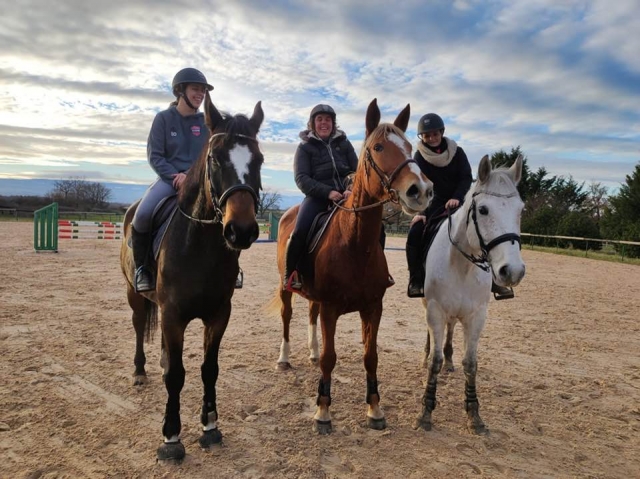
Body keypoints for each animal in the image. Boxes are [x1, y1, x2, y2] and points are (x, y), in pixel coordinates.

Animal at [121, 92, 264, 464]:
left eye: (259, 159)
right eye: (214, 158)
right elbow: (176, 375)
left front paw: (210, 426)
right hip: (134, 295)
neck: (200, 247)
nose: (241, 230)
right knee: (139, 326)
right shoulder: (173, 315)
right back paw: (139, 371)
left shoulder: (218, 314)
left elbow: (208, 369)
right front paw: (171, 438)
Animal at [270, 98, 436, 436]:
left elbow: (370, 357)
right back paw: (284, 358)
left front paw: (374, 409)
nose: (421, 191)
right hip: (285, 287)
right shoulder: (332, 308)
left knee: (310, 315)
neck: (355, 244)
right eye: (378, 147)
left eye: (410, 146)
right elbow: (330, 359)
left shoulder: (372, 307)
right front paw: (322, 411)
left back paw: (311, 351)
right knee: (287, 317)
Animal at [416, 155, 524, 436]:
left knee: (452, 328)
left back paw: (450, 360)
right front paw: (426, 412)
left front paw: (474, 415)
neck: (462, 265)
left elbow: (471, 363)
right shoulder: (435, 309)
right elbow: (434, 362)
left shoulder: (477, 316)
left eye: (520, 210)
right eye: (483, 210)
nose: (513, 271)